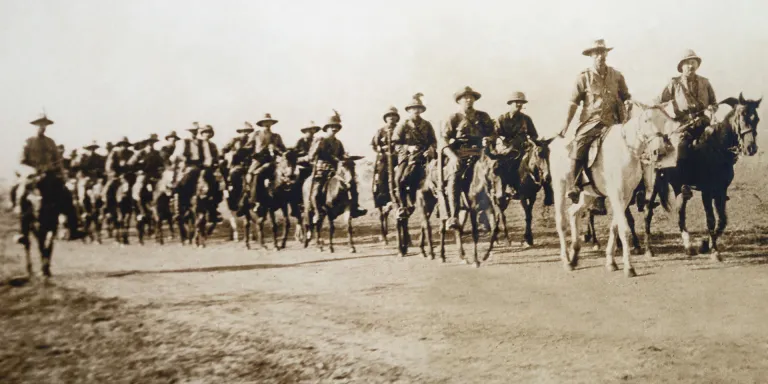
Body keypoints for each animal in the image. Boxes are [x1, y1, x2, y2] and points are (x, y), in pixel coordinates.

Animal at [552, 102, 672, 276]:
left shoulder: (626, 196)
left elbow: (615, 227)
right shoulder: (616, 194)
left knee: (573, 213)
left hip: (587, 194)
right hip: (559, 186)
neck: (626, 150)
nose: (660, 151)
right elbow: (624, 229)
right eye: (647, 120)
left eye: (664, 121)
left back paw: (574, 256)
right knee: (561, 220)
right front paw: (629, 267)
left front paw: (611, 262)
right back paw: (566, 260)